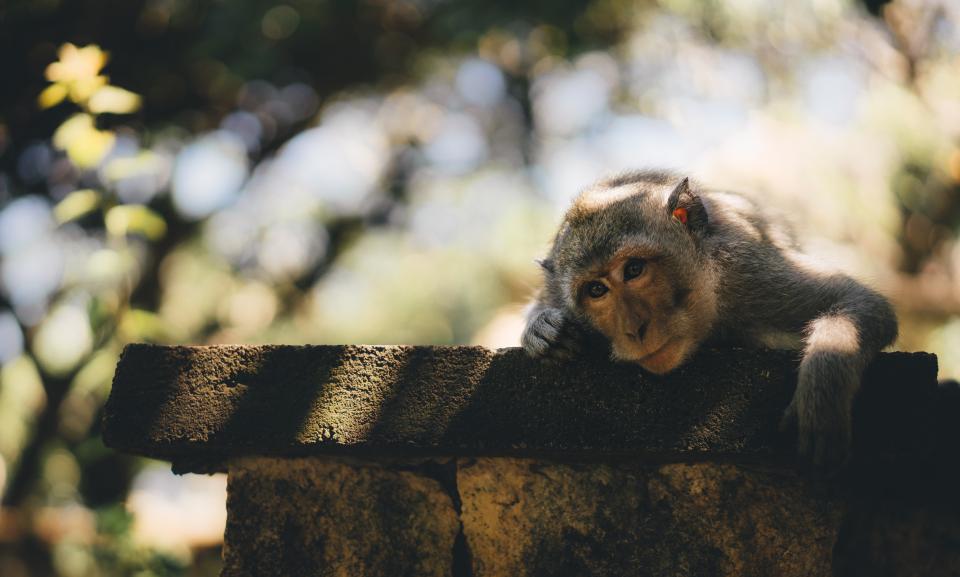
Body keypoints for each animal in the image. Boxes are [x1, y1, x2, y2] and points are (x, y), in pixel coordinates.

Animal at [522, 170, 898, 469]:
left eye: (634, 269)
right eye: (596, 290)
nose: (634, 330)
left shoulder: (745, 272)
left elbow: (858, 301)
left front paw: (822, 396)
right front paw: (543, 331)